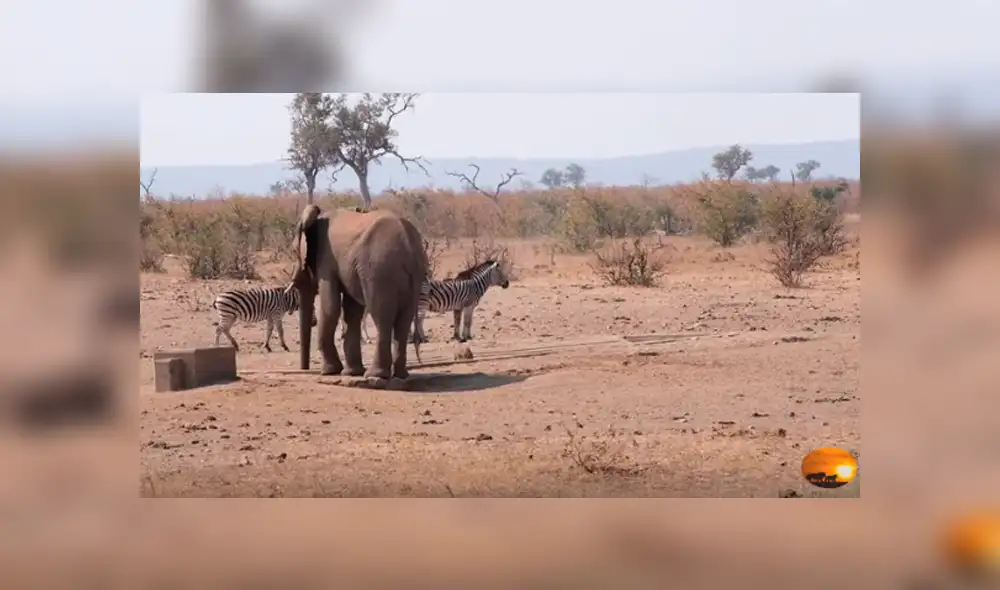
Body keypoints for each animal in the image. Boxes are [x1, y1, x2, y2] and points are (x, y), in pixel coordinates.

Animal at [285, 204, 428, 379]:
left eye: (293, 252)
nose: (304, 369)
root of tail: (407, 242)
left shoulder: (326, 260)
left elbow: (331, 307)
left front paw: (329, 372)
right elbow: (352, 311)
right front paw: (351, 373)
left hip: (378, 270)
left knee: (381, 316)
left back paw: (375, 375)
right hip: (412, 275)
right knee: (403, 320)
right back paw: (400, 375)